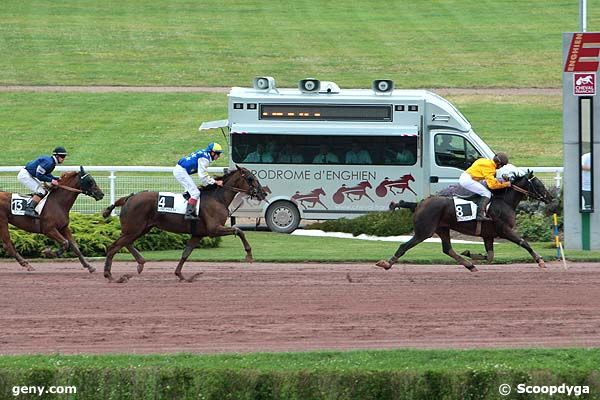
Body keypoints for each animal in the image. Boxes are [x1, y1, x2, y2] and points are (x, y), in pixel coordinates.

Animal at [102, 164, 266, 282]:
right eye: (250, 178)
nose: (263, 193)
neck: (217, 198)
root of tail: (128, 198)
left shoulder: (198, 234)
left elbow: (186, 253)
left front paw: (181, 275)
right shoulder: (214, 229)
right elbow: (239, 230)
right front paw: (249, 255)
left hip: (140, 228)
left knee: (125, 243)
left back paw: (140, 263)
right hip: (134, 229)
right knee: (113, 247)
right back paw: (110, 275)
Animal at [376, 172, 552, 272]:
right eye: (538, 184)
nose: (550, 198)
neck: (504, 201)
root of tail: (419, 203)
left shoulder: (488, 235)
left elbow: (490, 256)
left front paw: (469, 254)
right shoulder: (504, 230)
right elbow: (524, 242)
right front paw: (540, 261)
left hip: (442, 229)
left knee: (448, 249)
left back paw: (469, 265)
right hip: (424, 231)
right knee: (404, 246)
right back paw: (387, 264)